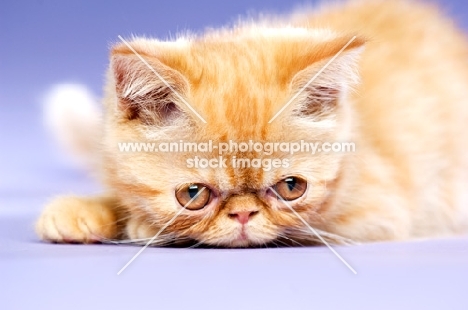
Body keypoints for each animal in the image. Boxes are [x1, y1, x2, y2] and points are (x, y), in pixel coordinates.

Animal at [35, 0, 468, 247]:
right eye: (193, 194)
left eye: (292, 188)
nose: (243, 215)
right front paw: (88, 209)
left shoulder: (380, 208)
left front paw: (142, 225)